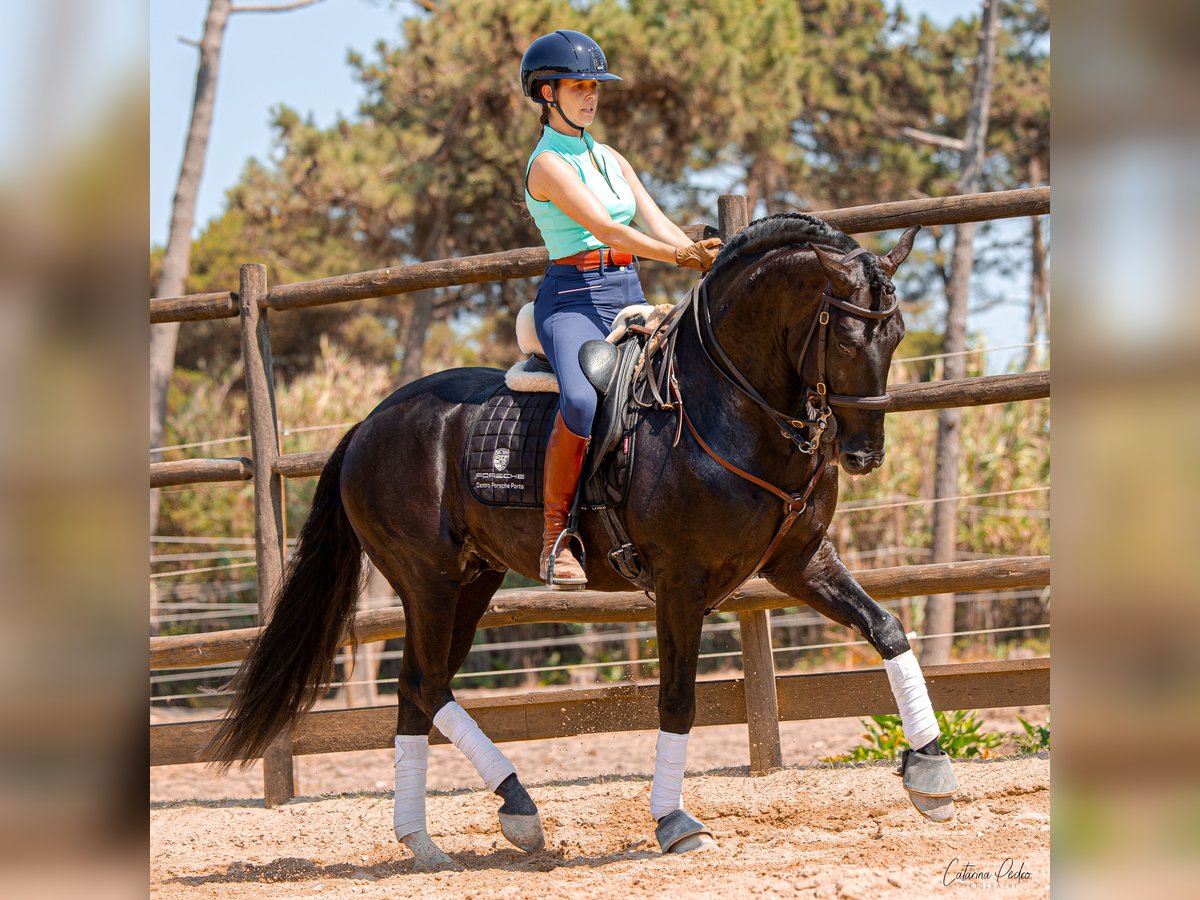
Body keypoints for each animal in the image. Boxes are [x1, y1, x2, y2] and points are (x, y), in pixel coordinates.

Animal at [208, 214, 955, 868]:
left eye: (897, 335)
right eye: (847, 338)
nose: (863, 455)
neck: (725, 404)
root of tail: (369, 422)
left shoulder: (800, 563)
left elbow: (888, 629)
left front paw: (931, 771)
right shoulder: (681, 583)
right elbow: (677, 699)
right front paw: (675, 822)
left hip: (472, 580)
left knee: (420, 690)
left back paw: (438, 837)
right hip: (427, 579)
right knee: (421, 682)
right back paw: (499, 813)